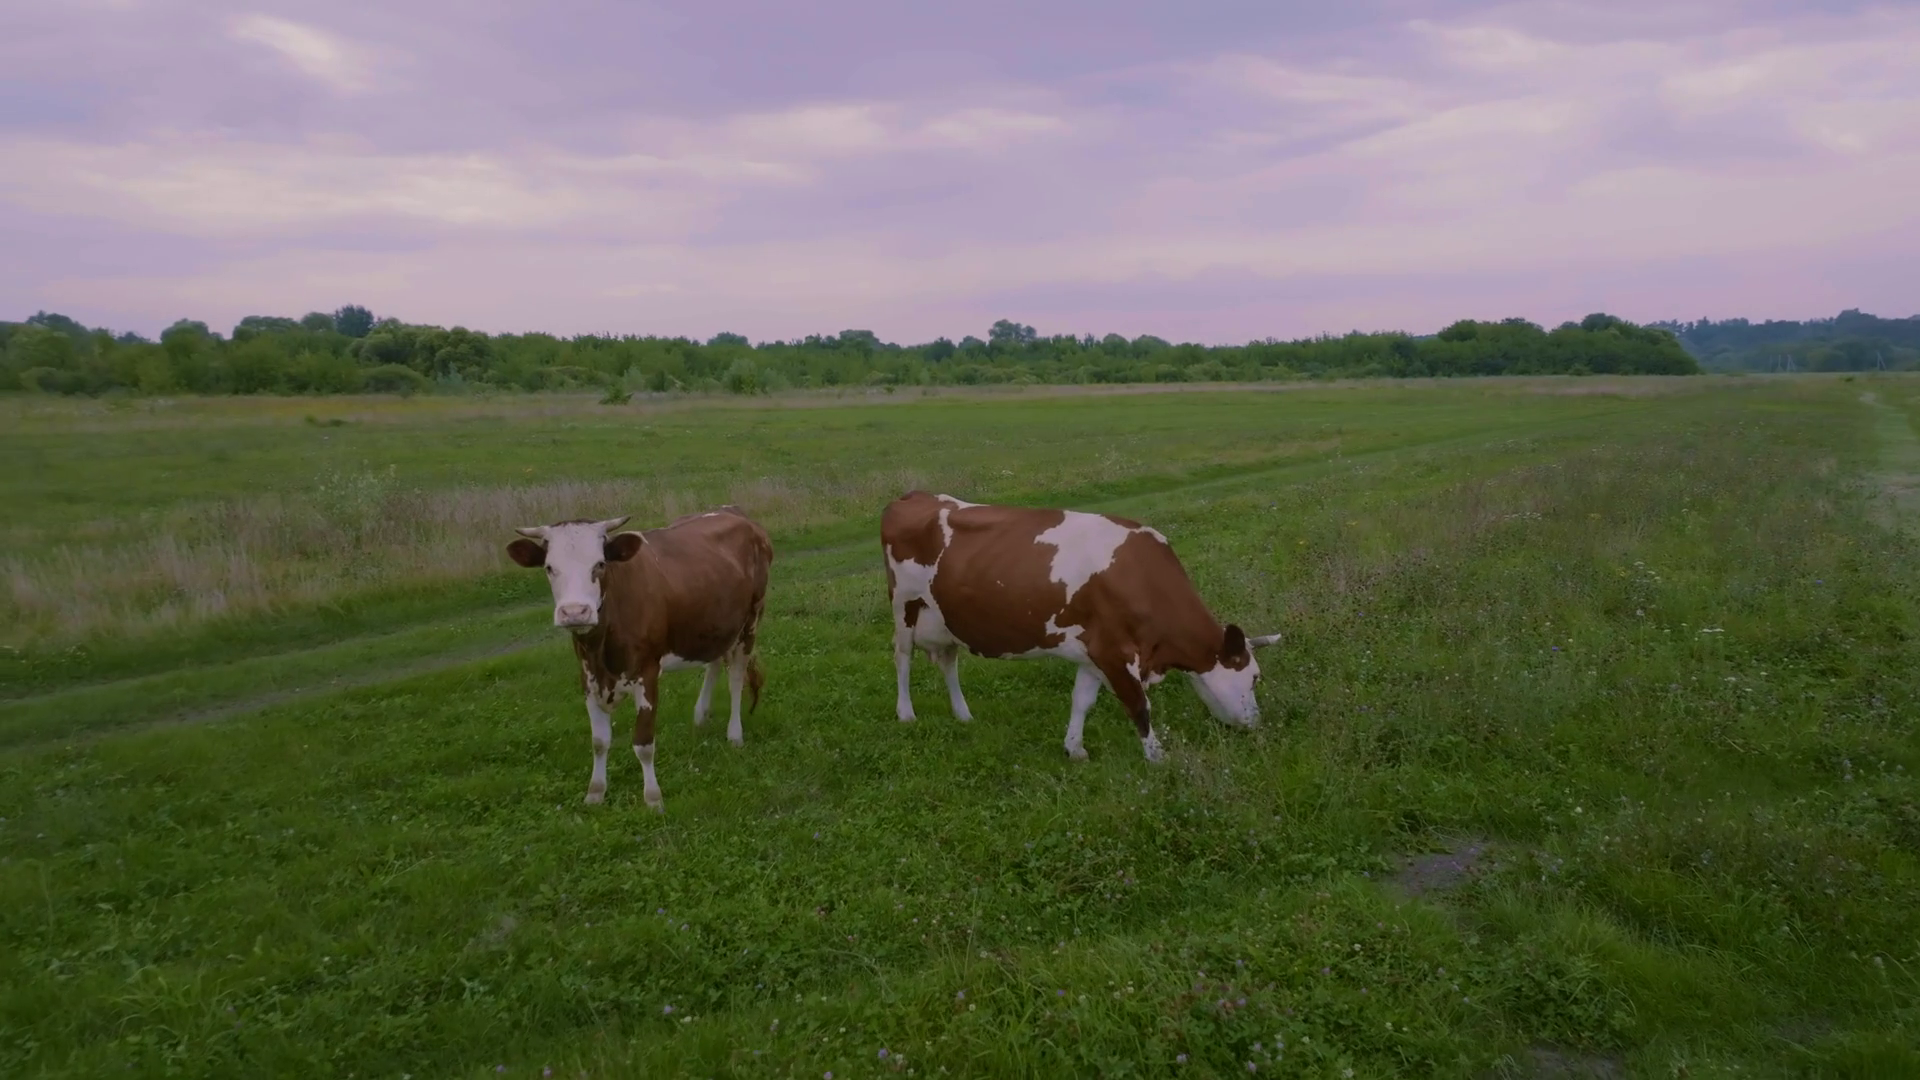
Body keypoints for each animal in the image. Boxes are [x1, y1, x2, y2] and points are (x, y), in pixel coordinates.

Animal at [506, 507, 773, 810]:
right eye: (550, 568)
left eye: (600, 564)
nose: (575, 612)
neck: (601, 650)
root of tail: (735, 512)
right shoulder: (587, 677)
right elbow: (599, 741)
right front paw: (595, 792)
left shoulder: (647, 673)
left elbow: (643, 744)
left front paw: (653, 798)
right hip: (713, 625)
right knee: (714, 663)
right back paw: (700, 715)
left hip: (751, 620)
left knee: (736, 678)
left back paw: (734, 734)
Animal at [881, 491, 1280, 762]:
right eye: (1254, 677)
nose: (1256, 724)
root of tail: (915, 495)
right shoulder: (1115, 653)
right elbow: (1139, 705)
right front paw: (1158, 758)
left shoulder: (1094, 650)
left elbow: (1082, 701)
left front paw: (1074, 749)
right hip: (905, 606)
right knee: (902, 659)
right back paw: (906, 713)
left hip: (944, 619)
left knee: (949, 662)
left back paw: (963, 715)